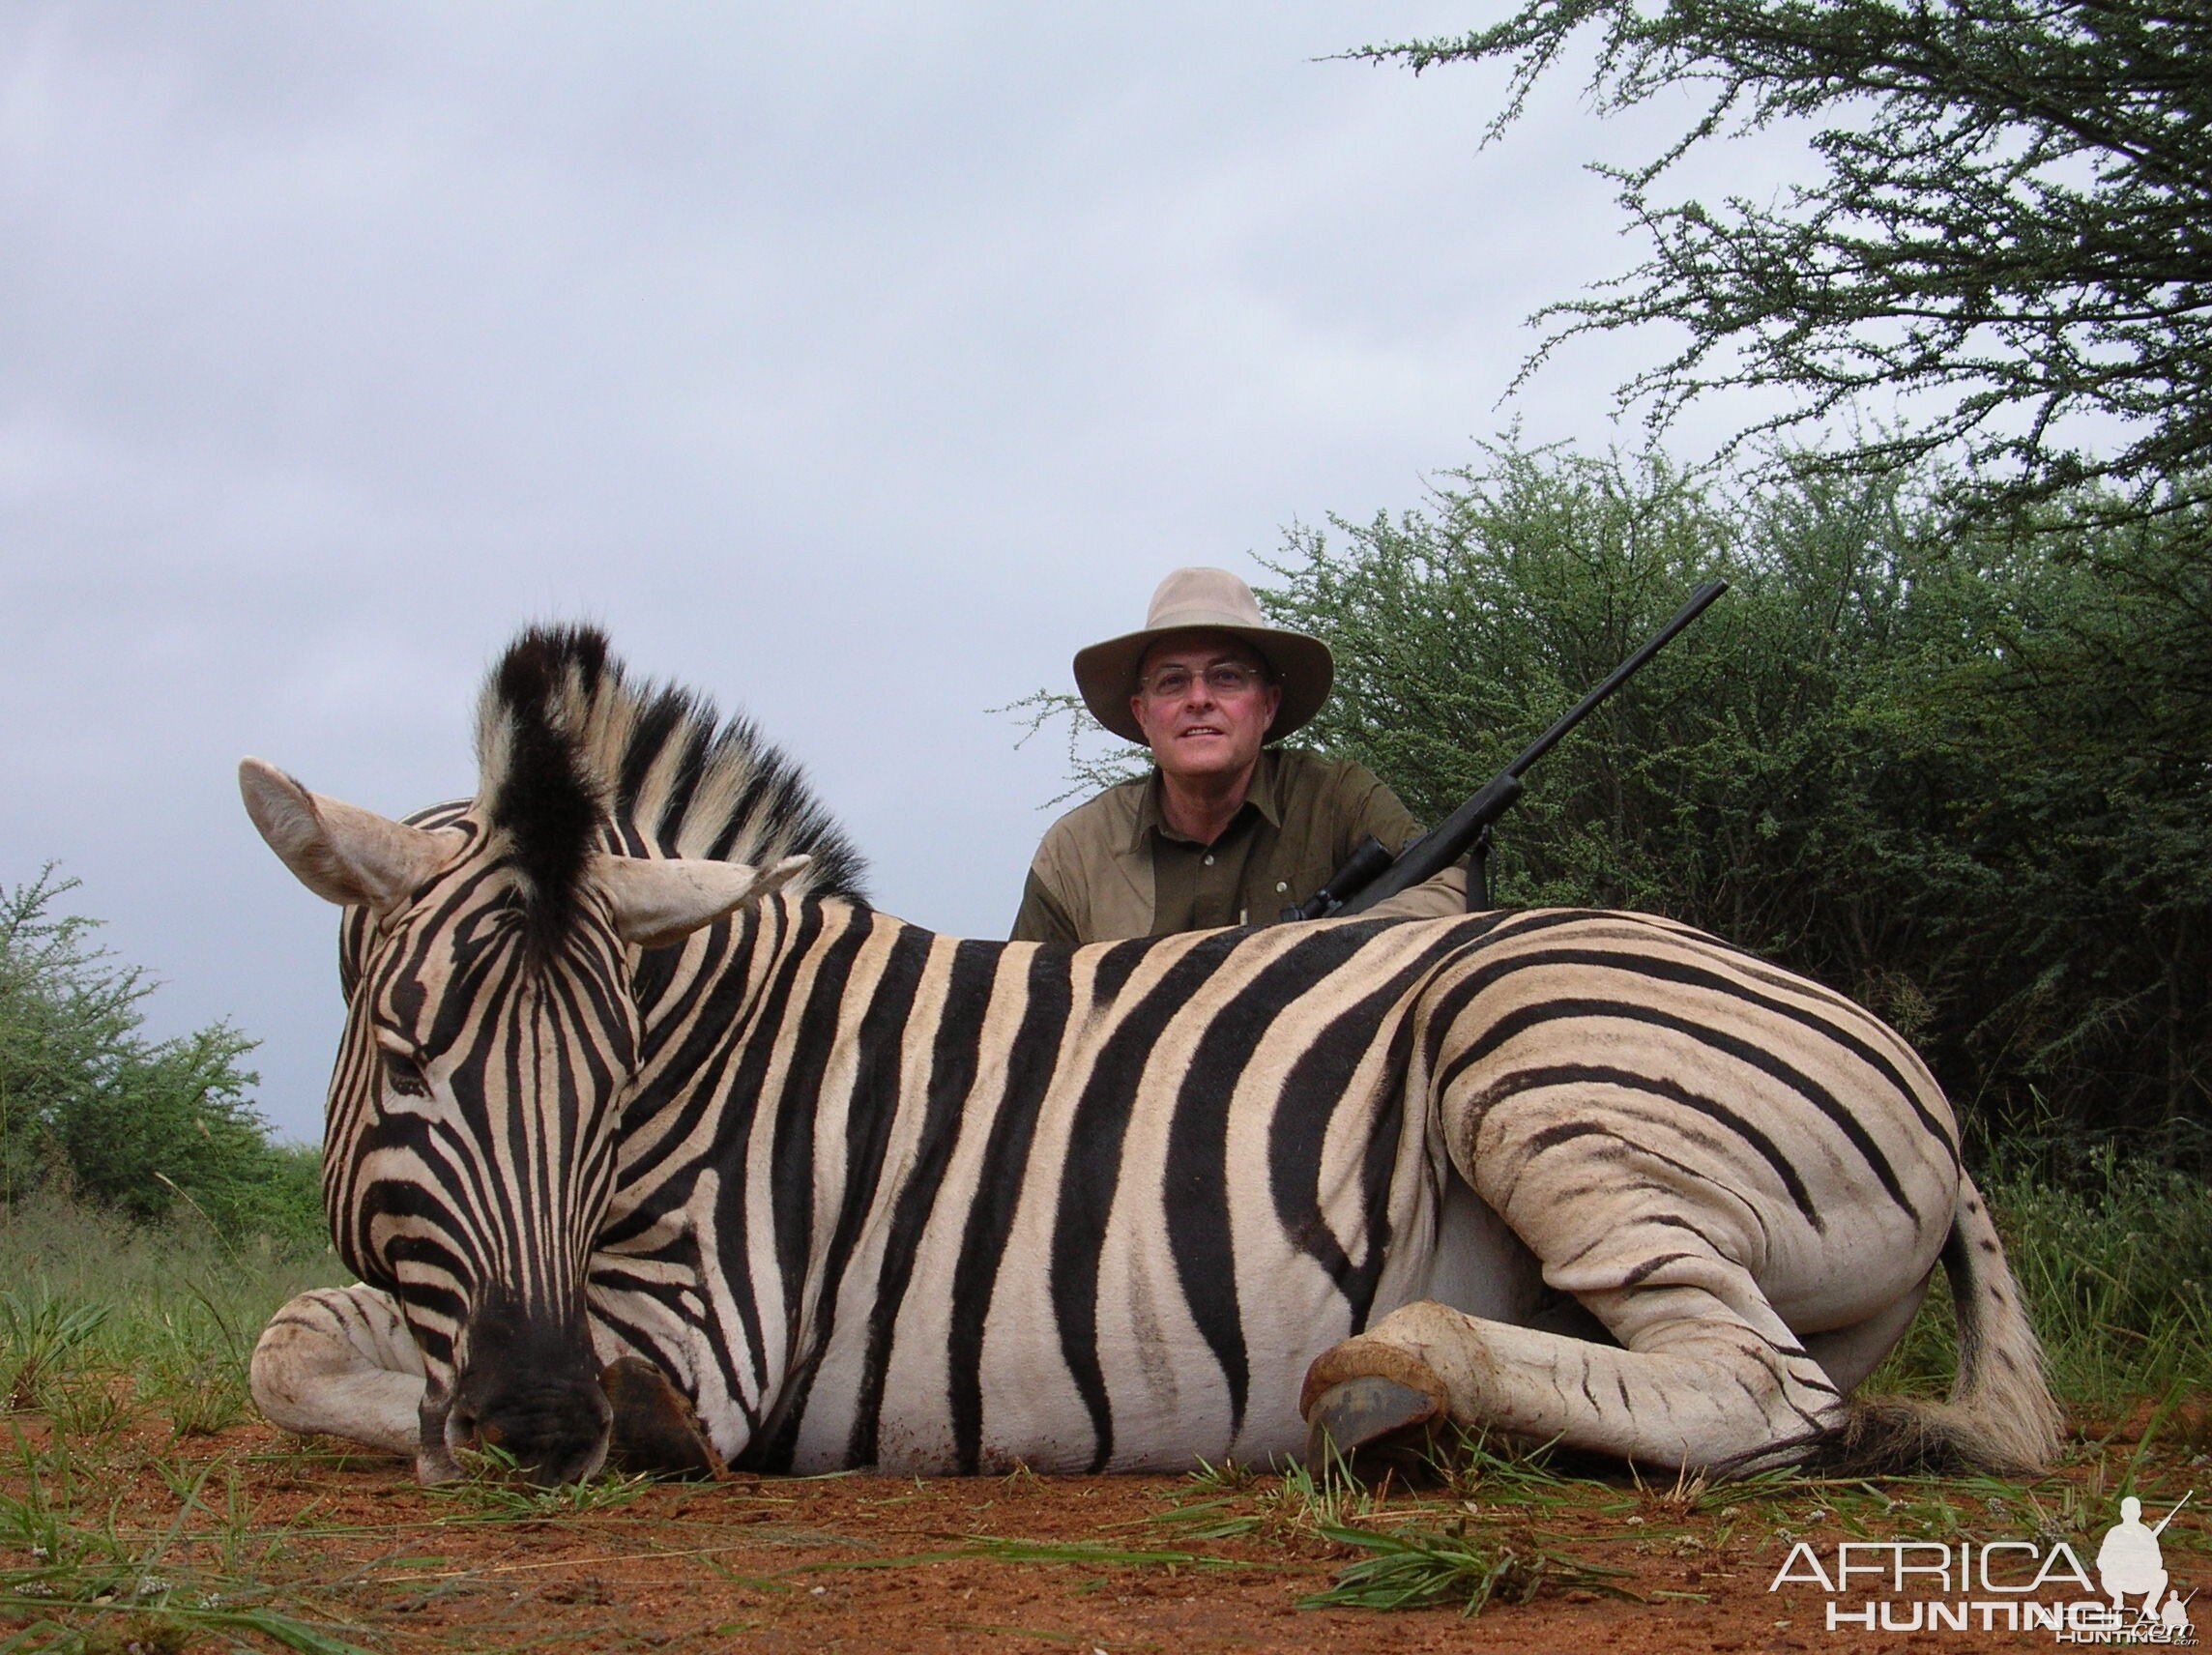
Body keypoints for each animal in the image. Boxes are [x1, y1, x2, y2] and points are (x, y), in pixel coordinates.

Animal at [242, 624, 2052, 1487]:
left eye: (612, 1082)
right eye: (403, 1055)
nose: (542, 1419)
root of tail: (1920, 1086)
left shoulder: (709, 1321)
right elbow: (289, 1345)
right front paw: (401, 1400)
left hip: (1530, 1043)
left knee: (1761, 1386)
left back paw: (1395, 1385)